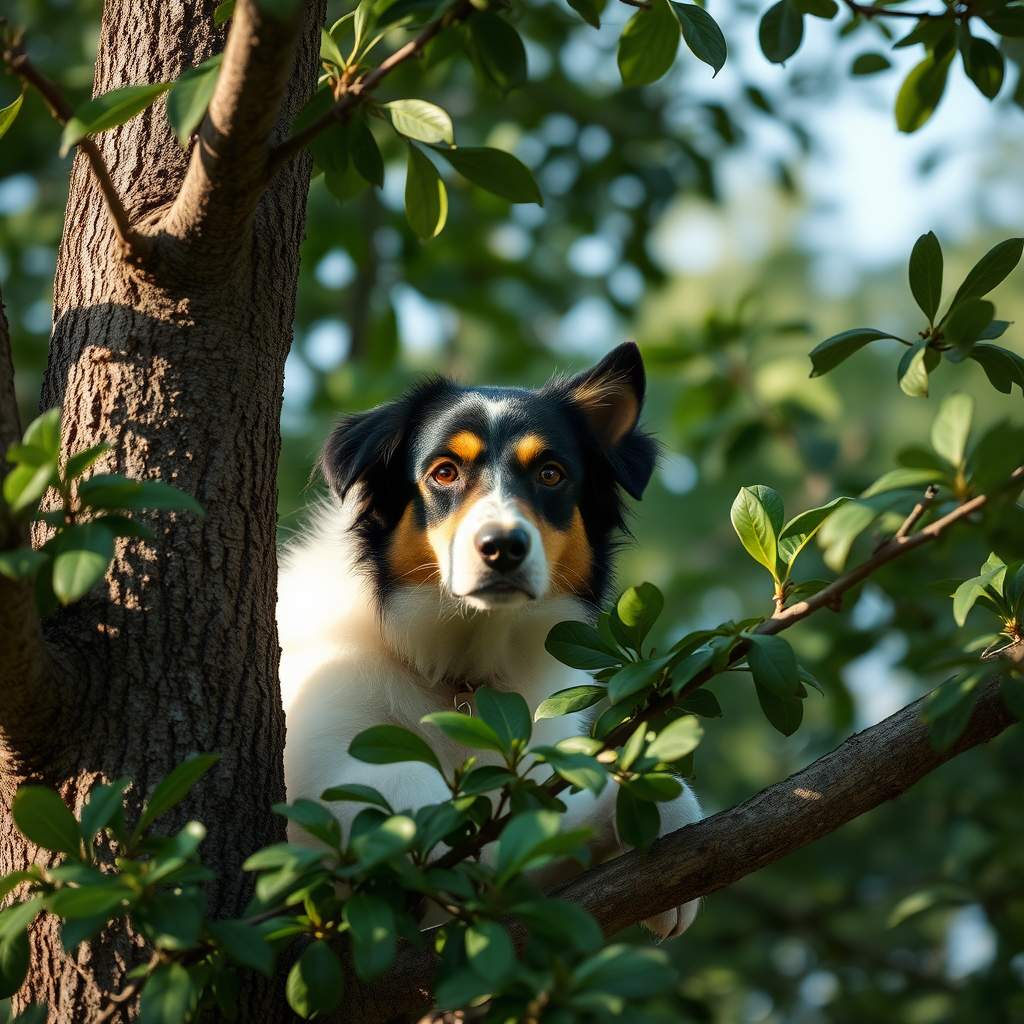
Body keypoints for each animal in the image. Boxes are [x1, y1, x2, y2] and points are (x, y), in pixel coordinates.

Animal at [276, 342, 700, 937]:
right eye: (444, 472)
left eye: (550, 473)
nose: (502, 546)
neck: (458, 669)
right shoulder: (310, 766)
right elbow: (400, 778)